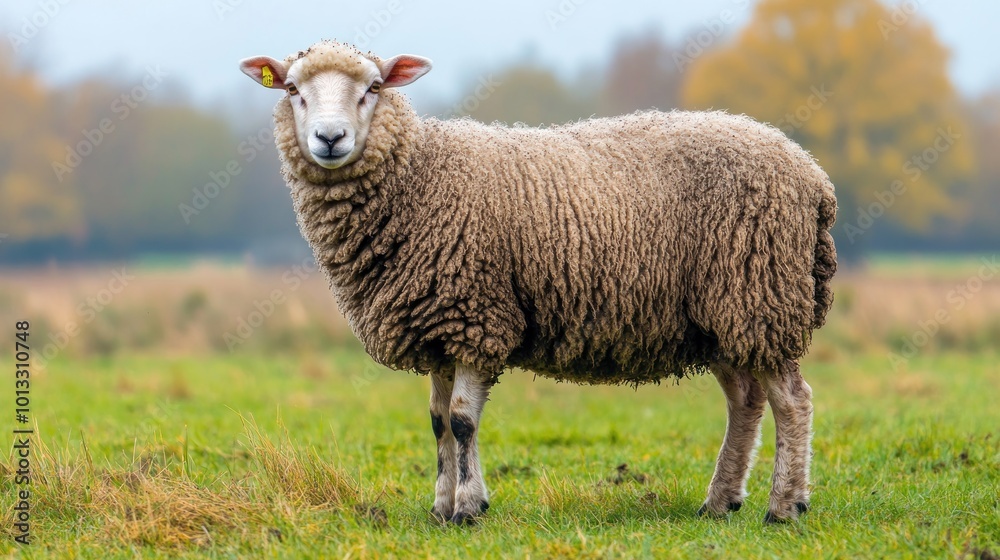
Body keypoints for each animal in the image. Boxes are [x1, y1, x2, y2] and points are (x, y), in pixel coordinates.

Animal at [239, 40, 837, 526]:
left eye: (374, 88)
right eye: (292, 89)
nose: (330, 137)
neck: (419, 176)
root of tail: (812, 175)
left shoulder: (476, 314)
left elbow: (462, 421)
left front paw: (467, 509)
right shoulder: (438, 325)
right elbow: (437, 423)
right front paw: (441, 507)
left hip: (759, 291)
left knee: (793, 400)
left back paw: (784, 506)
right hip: (721, 313)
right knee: (746, 400)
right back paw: (720, 501)